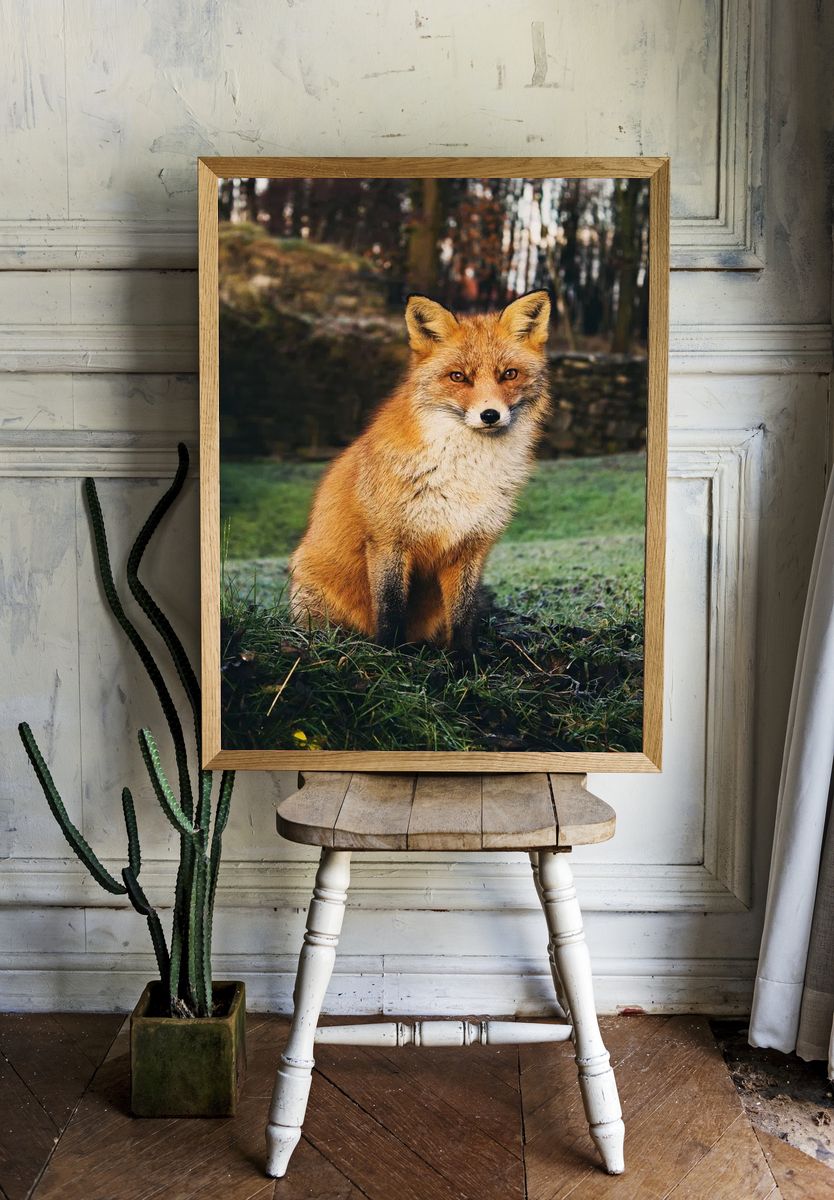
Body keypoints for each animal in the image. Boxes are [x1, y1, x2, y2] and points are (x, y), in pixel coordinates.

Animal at [289, 289, 552, 654]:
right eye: (458, 376)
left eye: (509, 374)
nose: (490, 415)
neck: (464, 474)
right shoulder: (388, 540)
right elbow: (390, 609)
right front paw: (389, 655)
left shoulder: (471, 546)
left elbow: (463, 615)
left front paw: (465, 660)